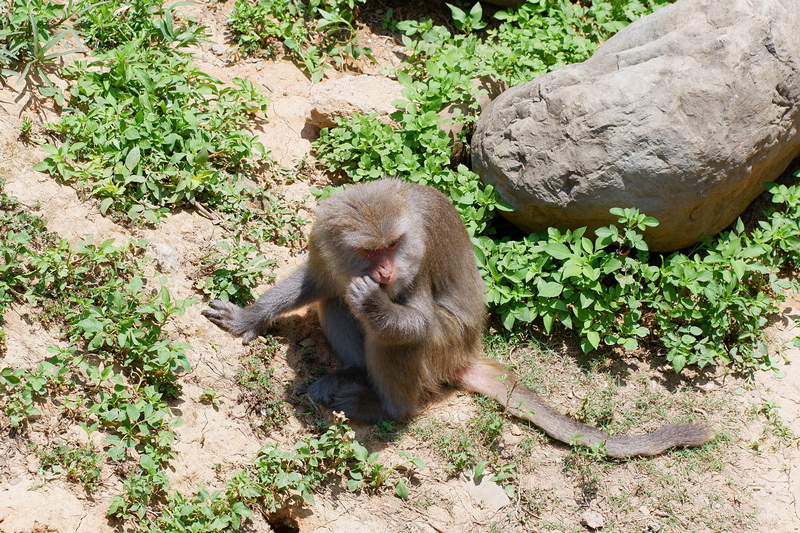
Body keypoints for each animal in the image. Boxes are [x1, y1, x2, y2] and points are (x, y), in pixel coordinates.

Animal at [203, 178, 716, 458]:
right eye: (369, 251)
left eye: (393, 245)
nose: (384, 273)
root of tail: (467, 353)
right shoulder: (324, 242)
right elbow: (319, 283)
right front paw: (251, 317)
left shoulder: (419, 255)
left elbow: (413, 322)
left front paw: (377, 304)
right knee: (334, 302)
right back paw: (354, 374)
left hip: (444, 348)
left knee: (400, 340)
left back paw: (386, 407)